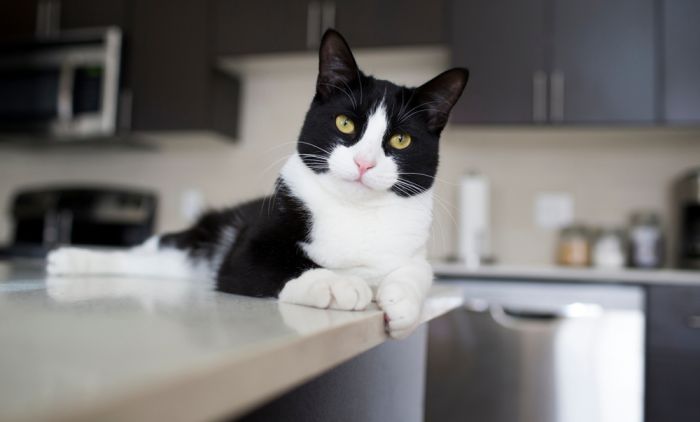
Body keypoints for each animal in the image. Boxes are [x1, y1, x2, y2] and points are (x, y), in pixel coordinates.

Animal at [47, 29, 468, 339]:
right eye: (345, 123)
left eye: (401, 140)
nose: (364, 163)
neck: (355, 211)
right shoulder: (245, 250)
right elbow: (278, 264)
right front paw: (336, 284)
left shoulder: (412, 251)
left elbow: (419, 273)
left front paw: (402, 304)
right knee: (145, 252)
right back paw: (69, 259)